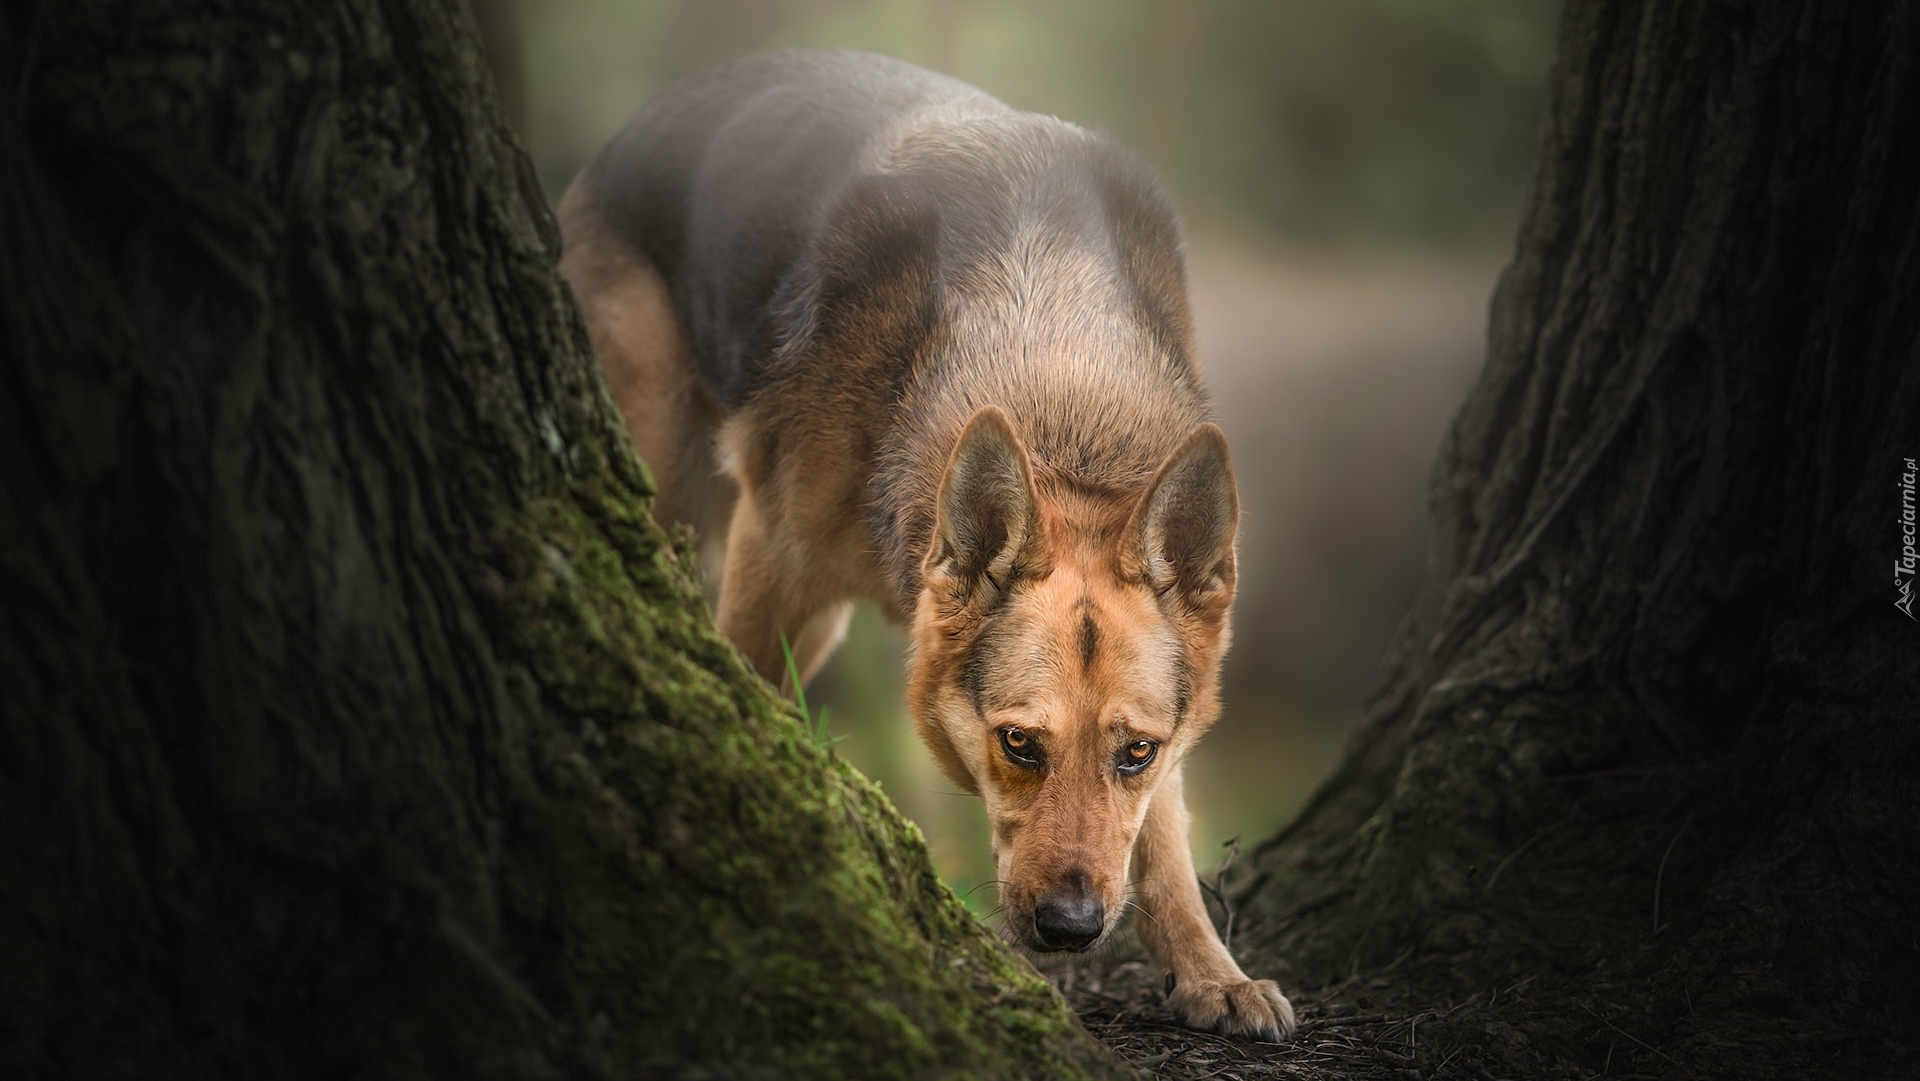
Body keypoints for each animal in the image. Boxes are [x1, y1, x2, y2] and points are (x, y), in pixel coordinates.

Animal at [560, 48, 1297, 1036]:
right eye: (1018, 744)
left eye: (1133, 753)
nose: (1072, 927)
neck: (1061, 399)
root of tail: (661, 108)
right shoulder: (774, 565)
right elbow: (743, 685)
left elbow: (1164, 838)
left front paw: (1210, 969)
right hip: (671, 485)